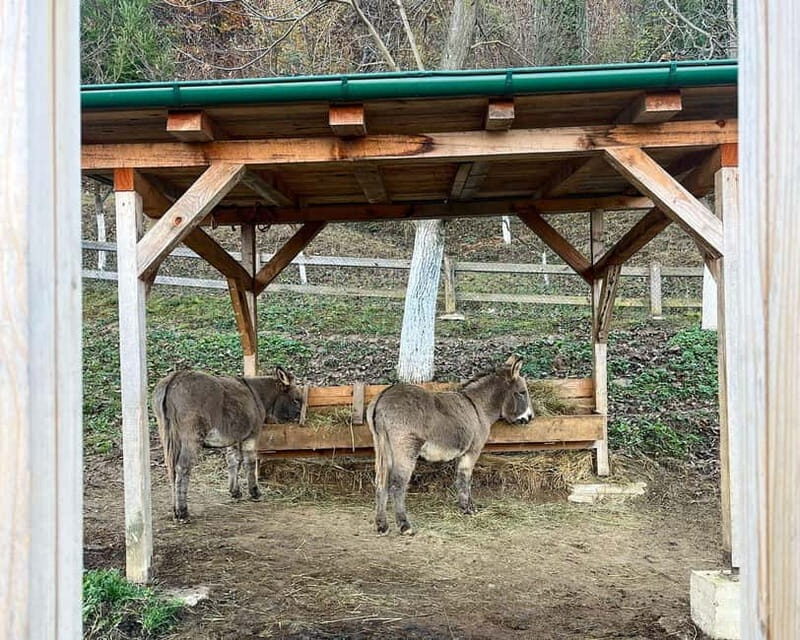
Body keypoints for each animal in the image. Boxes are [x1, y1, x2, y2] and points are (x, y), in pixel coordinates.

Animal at [153, 367, 302, 521]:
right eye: (296, 400)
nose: (300, 422)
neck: (257, 395)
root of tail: (175, 377)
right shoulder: (252, 435)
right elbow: (250, 463)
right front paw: (255, 492)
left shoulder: (234, 438)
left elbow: (233, 461)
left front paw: (235, 492)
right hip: (191, 437)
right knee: (182, 468)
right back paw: (183, 512)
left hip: (166, 433)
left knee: (171, 470)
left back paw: (175, 510)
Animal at [366, 355, 533, 535]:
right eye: (522, 393)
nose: (530, 418)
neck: (478, 407)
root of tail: (383, 397)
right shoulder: (473, 450)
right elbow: (466, 478)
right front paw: (468, 509)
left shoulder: (462, 452)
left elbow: (461, 479)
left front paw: (467, 506)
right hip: (405, 448)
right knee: (397, 484)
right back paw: (405, 526)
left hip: (382, 446)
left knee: (381, 481)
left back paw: (382, 525)